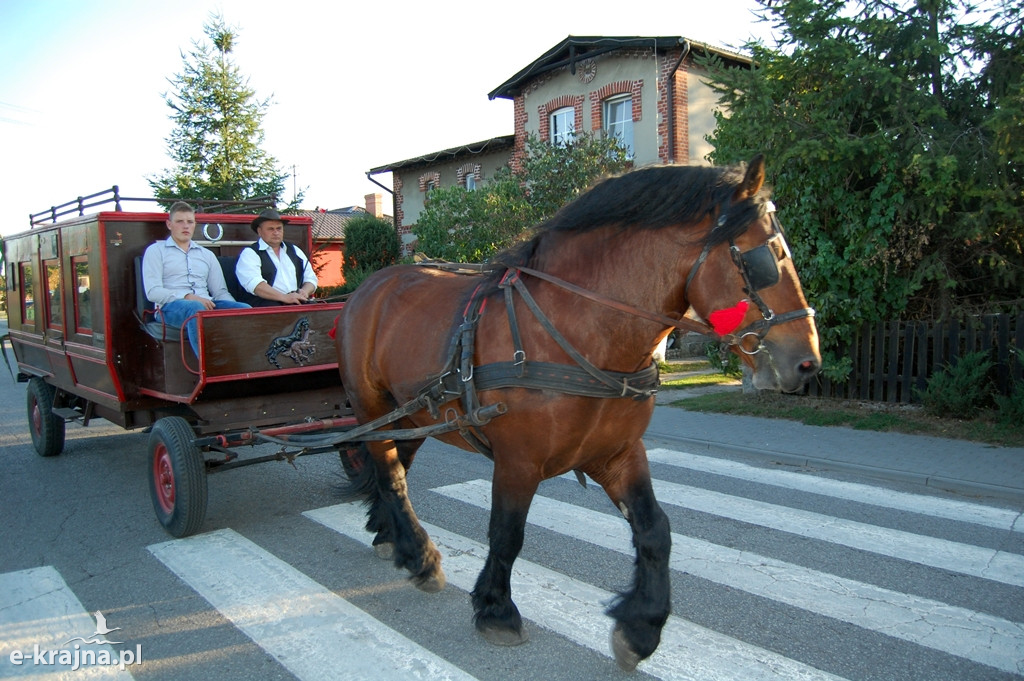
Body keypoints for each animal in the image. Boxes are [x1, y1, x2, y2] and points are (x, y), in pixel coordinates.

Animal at [337, 155, 823, 667]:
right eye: (764, 258)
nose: (808, 361)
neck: (580, 333)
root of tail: (370, 285)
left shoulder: (618, 453)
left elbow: (656, 530)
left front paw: (641, 626)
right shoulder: (518, 462)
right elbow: (507, 534)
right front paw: (496, 609)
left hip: (411, 416)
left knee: (395, 470)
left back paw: (389, 534)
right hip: (373, 407)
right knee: (390, 473)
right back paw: (419, 555)